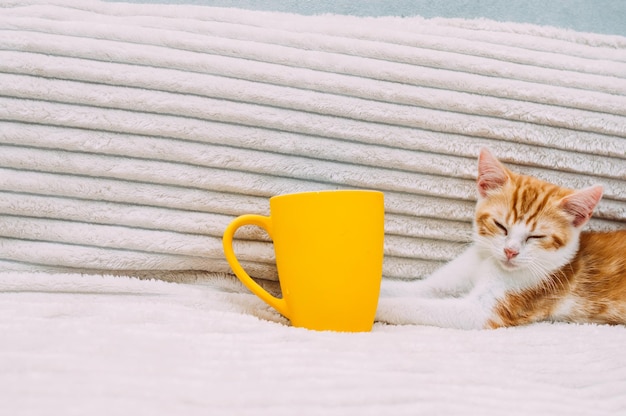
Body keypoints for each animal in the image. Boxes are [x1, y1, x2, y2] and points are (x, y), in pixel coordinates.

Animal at [376, 148, 624, 330]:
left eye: (536, 236)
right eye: (500, 225)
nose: (510, 251)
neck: (488, 261)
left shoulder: (488, 309)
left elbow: (416, 306)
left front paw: (376, 307)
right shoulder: (439, 283)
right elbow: (413, 289)